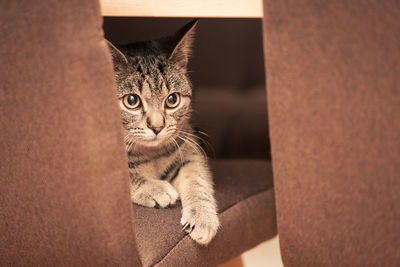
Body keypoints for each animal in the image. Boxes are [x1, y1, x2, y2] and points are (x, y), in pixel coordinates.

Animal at [107, 20, 219, 247]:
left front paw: (203, 216)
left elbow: (197, 180)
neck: (151, 154)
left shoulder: (189, 149)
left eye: (172, 99)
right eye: (131, 100)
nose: (157, 127)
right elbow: (124, 174)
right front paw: (154, 188)